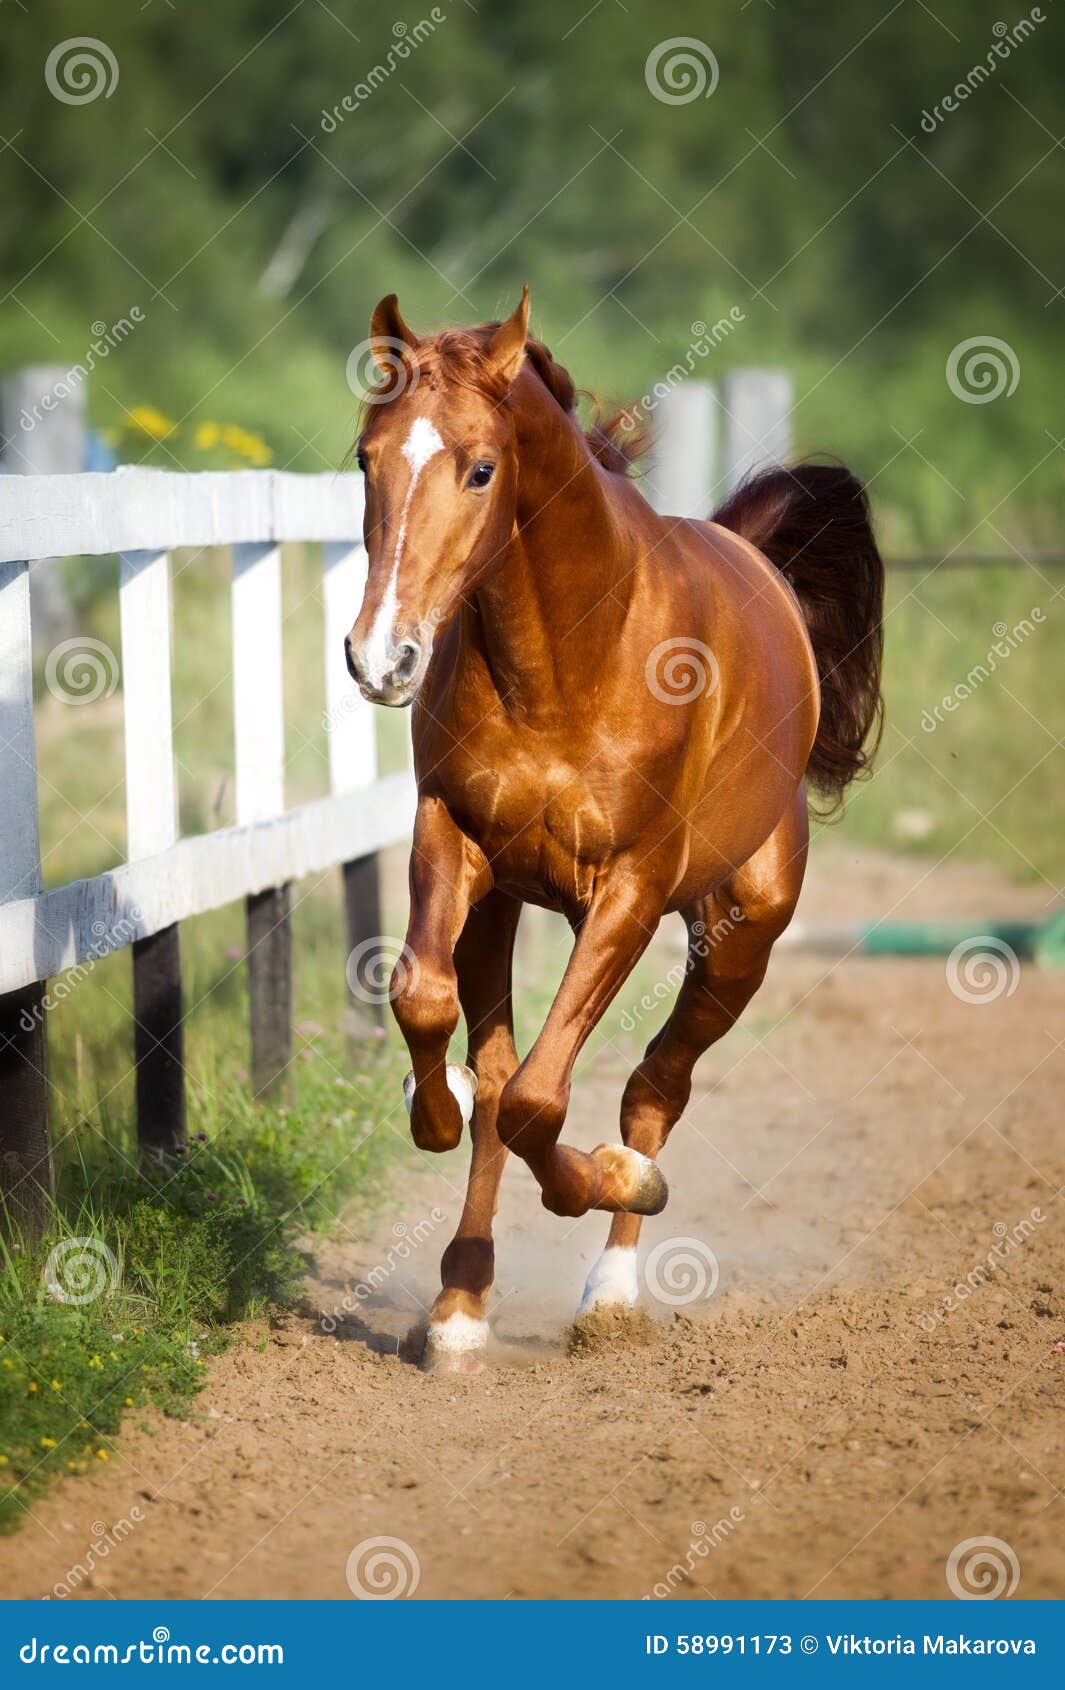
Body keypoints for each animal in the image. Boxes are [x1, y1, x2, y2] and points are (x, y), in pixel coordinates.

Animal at [345, 287, 884, 1372]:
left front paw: (610, 1179)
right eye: (365, 458)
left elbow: (543, 1099)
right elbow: (436, 1018)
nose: (381, 659)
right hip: (512, 905)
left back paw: (614, 1280)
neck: (568, 655)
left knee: (654, 1088)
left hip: (740, 936)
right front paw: (435, 1109)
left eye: (480, 467)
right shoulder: (457, 842)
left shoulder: (629, 890)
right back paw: (461, 1303)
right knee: (509, 1078)